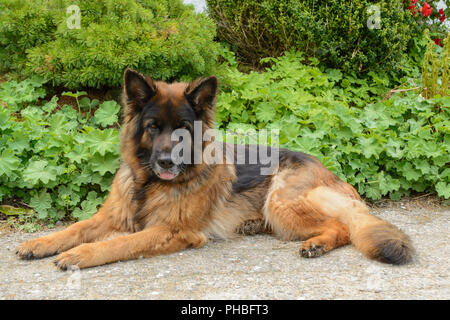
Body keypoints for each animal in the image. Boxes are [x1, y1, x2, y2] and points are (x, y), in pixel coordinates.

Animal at [15, 69, 414, 268]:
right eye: (153, 128)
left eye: (182, 131)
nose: (165, 161)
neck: (149, 184)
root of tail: (325, 167)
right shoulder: (111, 216)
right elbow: (76, 228)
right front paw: (39, 243)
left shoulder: (171, 231)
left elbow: (118, 244)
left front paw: (78, 256)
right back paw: (254, 226)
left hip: (281, 200)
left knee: (342, 228)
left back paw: (316, 243)